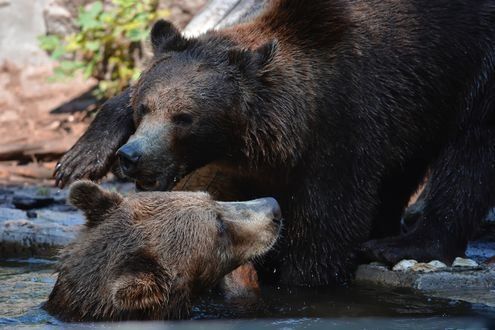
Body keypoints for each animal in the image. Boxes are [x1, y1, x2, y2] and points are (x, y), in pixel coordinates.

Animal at [54, 0, 495, 286]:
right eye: (144, 107)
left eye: (185, 117)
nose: (132, 156)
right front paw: (79, 158)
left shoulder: (348, 126)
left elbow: (328, 225)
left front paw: (301, 277)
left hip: (476, 68)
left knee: (470, 156)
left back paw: (403, 244)